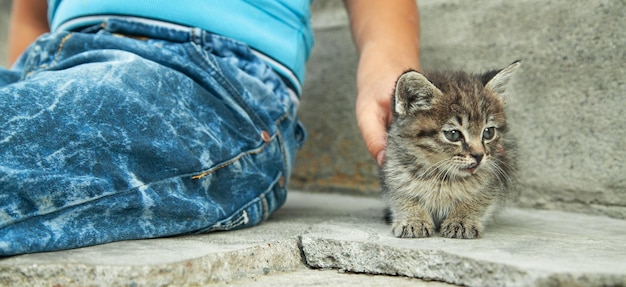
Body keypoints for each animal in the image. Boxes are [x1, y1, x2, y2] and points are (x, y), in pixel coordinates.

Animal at [378, 61, 520, 241]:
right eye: (453, 134)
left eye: (488, 132)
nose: (479, 156)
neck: (441, 175)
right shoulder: (394, 167)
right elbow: (402, 195)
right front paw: (414, 219)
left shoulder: (496, 170)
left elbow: (480, 197)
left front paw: (462, 220)